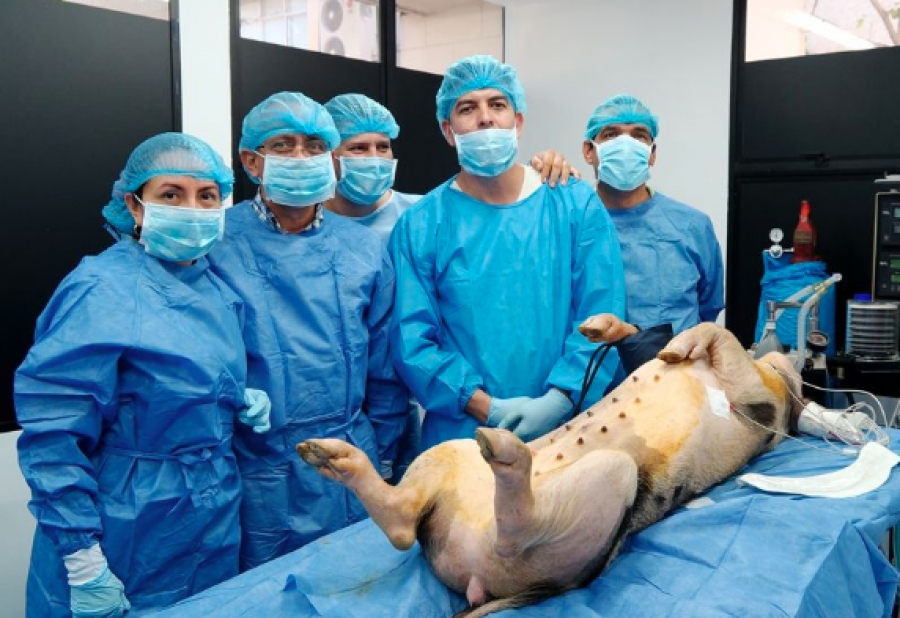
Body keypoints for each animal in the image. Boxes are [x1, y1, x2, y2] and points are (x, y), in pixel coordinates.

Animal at [297, 322, 804, 617]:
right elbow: (653, 341)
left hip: (597, 501)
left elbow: (723, 338)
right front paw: (608, 330)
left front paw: (696, 343)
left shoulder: (761, 402)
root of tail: (470, 573)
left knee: (513, 534)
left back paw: (505, 452)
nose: (784, 353)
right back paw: (328, 456)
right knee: (404, 523)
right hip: (446, 456)